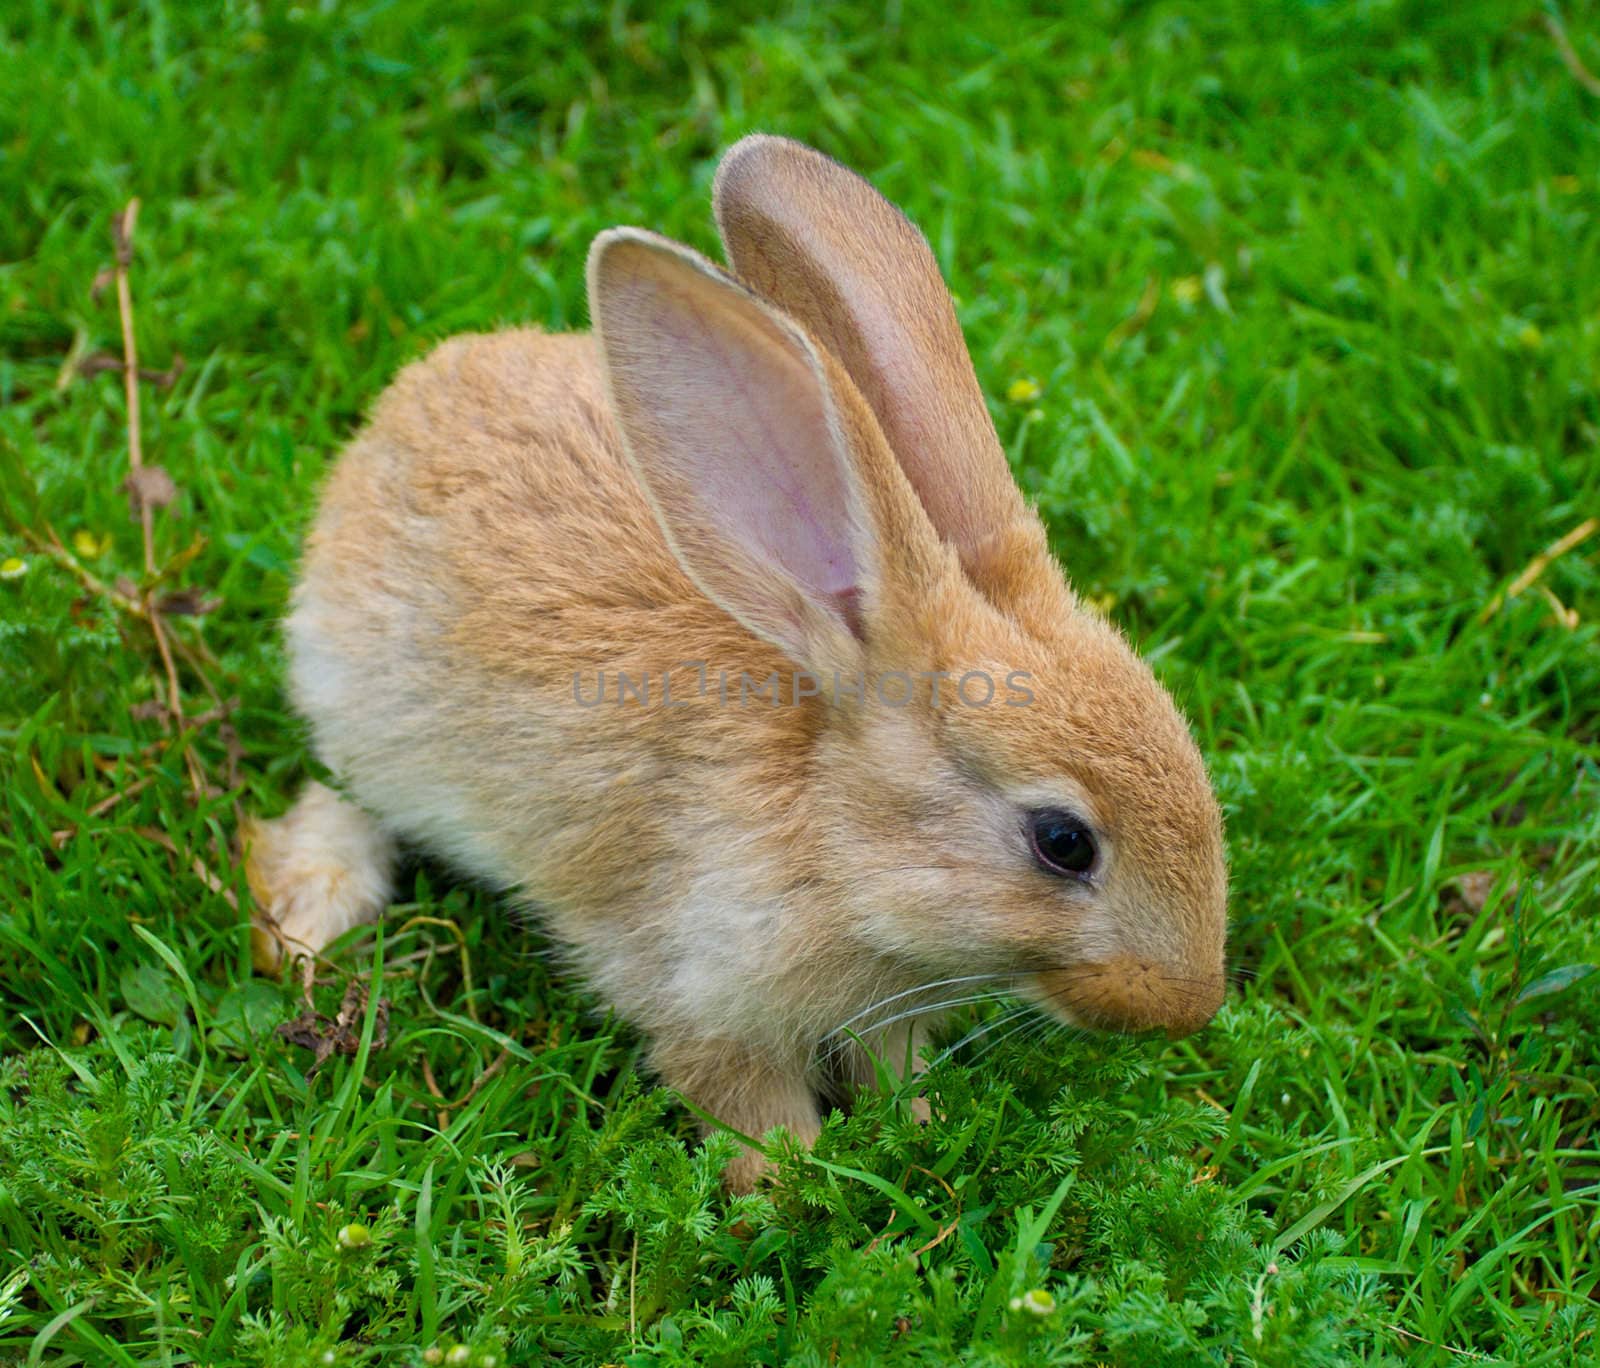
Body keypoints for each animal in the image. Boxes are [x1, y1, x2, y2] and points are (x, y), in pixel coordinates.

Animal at [243, 133, 1228, 1190]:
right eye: (1063, 841)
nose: (1188, 1004)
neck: (835, 837)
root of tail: (398, 413)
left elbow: (892, 1069)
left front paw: (916, 1130)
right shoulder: (703, 997)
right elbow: (749, 1109)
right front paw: (793, 1190)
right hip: (361, 711)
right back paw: (310, 915)